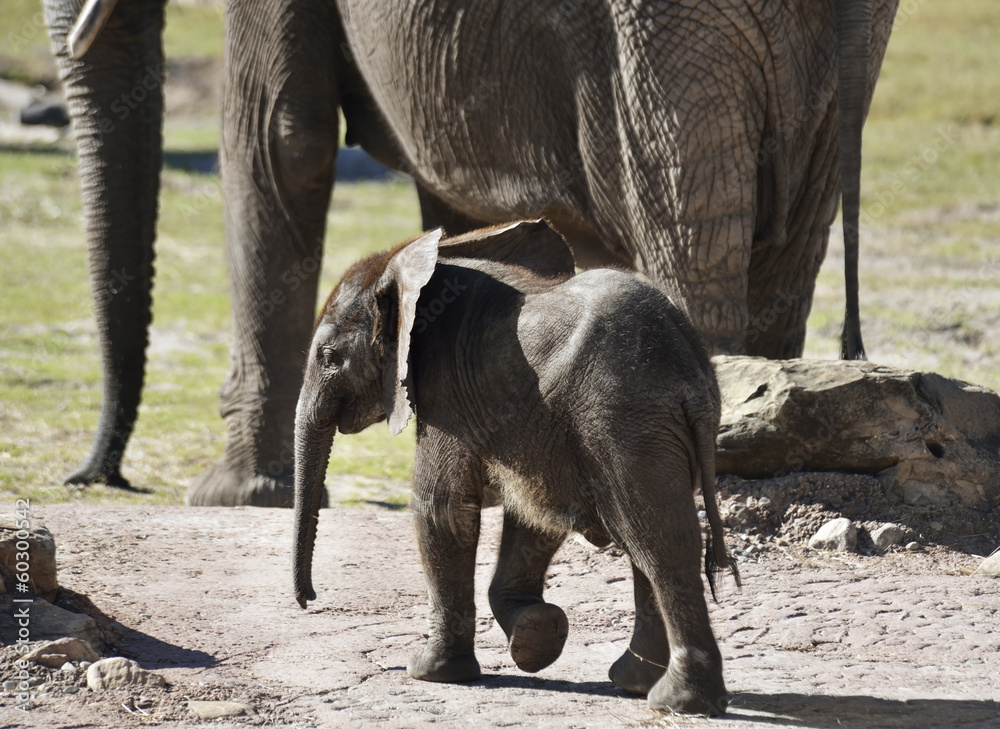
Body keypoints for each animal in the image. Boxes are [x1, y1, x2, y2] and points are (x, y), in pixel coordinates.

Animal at [292, 219, 740, 712]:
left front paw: (431, 674)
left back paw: (676, 701)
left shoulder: (446, 391)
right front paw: (536, 636)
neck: (415, 267)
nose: (309, 599)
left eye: (329, 358)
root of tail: (690, 370)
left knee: (657, 538)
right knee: (650, 535)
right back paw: (635, 683)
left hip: (626, 418)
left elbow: (442, 508)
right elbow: (534, 509)